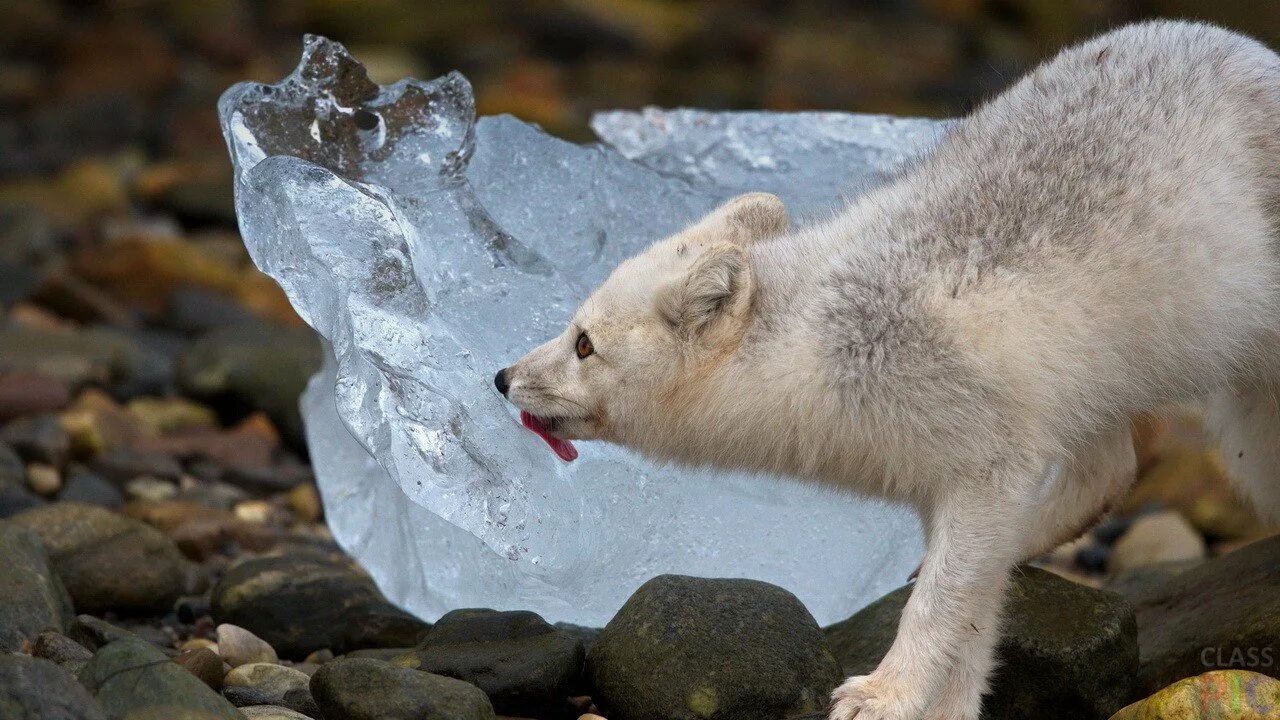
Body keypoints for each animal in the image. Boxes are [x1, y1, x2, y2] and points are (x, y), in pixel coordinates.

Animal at [494, 20, 1280, 717]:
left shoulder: (987, 469)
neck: (819, 340)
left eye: (584, 344)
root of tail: (1254, 50)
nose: (500, 378)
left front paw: (883, 694)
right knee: (1110, 472)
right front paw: (940, 705)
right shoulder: (950, 487)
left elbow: (938, 609)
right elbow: (969, 626)